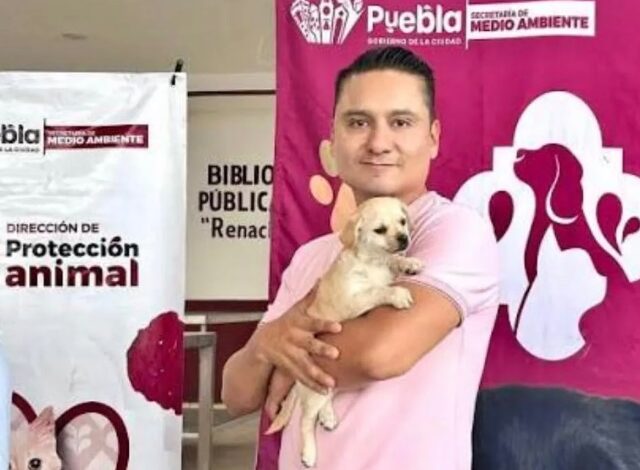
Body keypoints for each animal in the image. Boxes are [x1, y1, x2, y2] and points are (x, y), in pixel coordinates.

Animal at [265, 196, 423, 467]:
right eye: (380, 230)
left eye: (403, 222)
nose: (404, 238)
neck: (371, 262)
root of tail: (297, 383)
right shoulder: (354, 299)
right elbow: (377, 290)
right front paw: (397, 293)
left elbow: (393, 262)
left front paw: (408, 262)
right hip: (314, 388)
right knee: (305, 419)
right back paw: (308, 453)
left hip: (330, 381)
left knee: (326, 399)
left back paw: (327, 417)